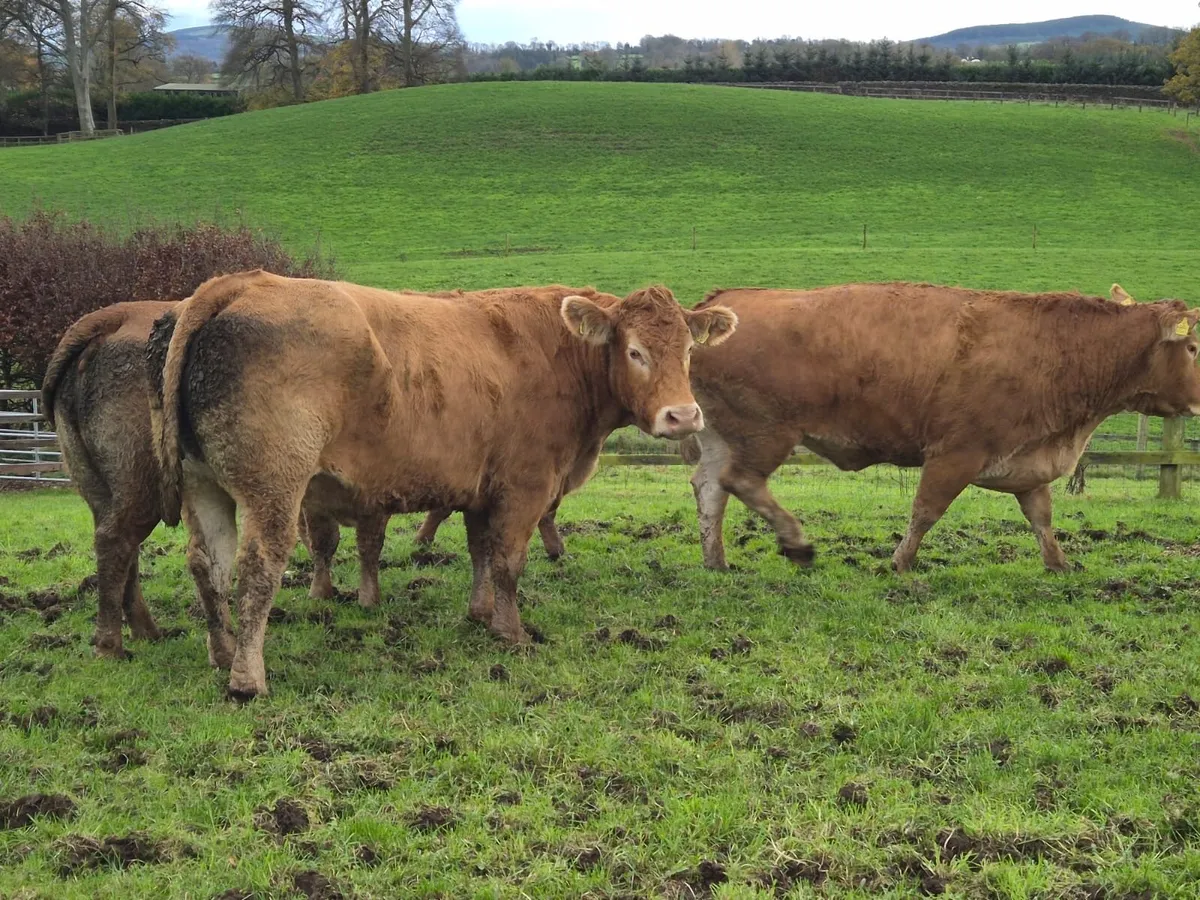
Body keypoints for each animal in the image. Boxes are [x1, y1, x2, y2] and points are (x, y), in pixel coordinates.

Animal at [41, 302, 387, 660]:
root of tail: (112, 318)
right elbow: (357, 540)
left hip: (101, 491)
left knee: (122, 549)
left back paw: (148, 632)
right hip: (140, 488)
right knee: (116, 541)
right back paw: (112, 646)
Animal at [151, 272, 736, 698]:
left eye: (688, 351)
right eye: (634, 351)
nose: (684, 416)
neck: (561, 355)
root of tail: (240, 283)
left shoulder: (482, 488)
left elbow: (481, 552)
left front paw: (480, 614)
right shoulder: (524, 487)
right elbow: (508, 561)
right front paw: (511, 632)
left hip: (204, 487)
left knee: (208, 566)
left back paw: (222, 652)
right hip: (275, 488)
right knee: (257, 568)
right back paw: (247, 677)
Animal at [682, 282, 1200, 573]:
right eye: (1194, 347)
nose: (1199, 400)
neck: (1056, 346)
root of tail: (715, 305)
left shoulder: (1027, 462)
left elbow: (1041, 519)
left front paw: (1059, 565)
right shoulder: (955, 455)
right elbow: (926, 512)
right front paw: (900, 563)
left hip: (723, 436)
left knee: (710, 488)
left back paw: (716, 561)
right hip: (767, 435)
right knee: (740, 482)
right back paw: (796, 543)